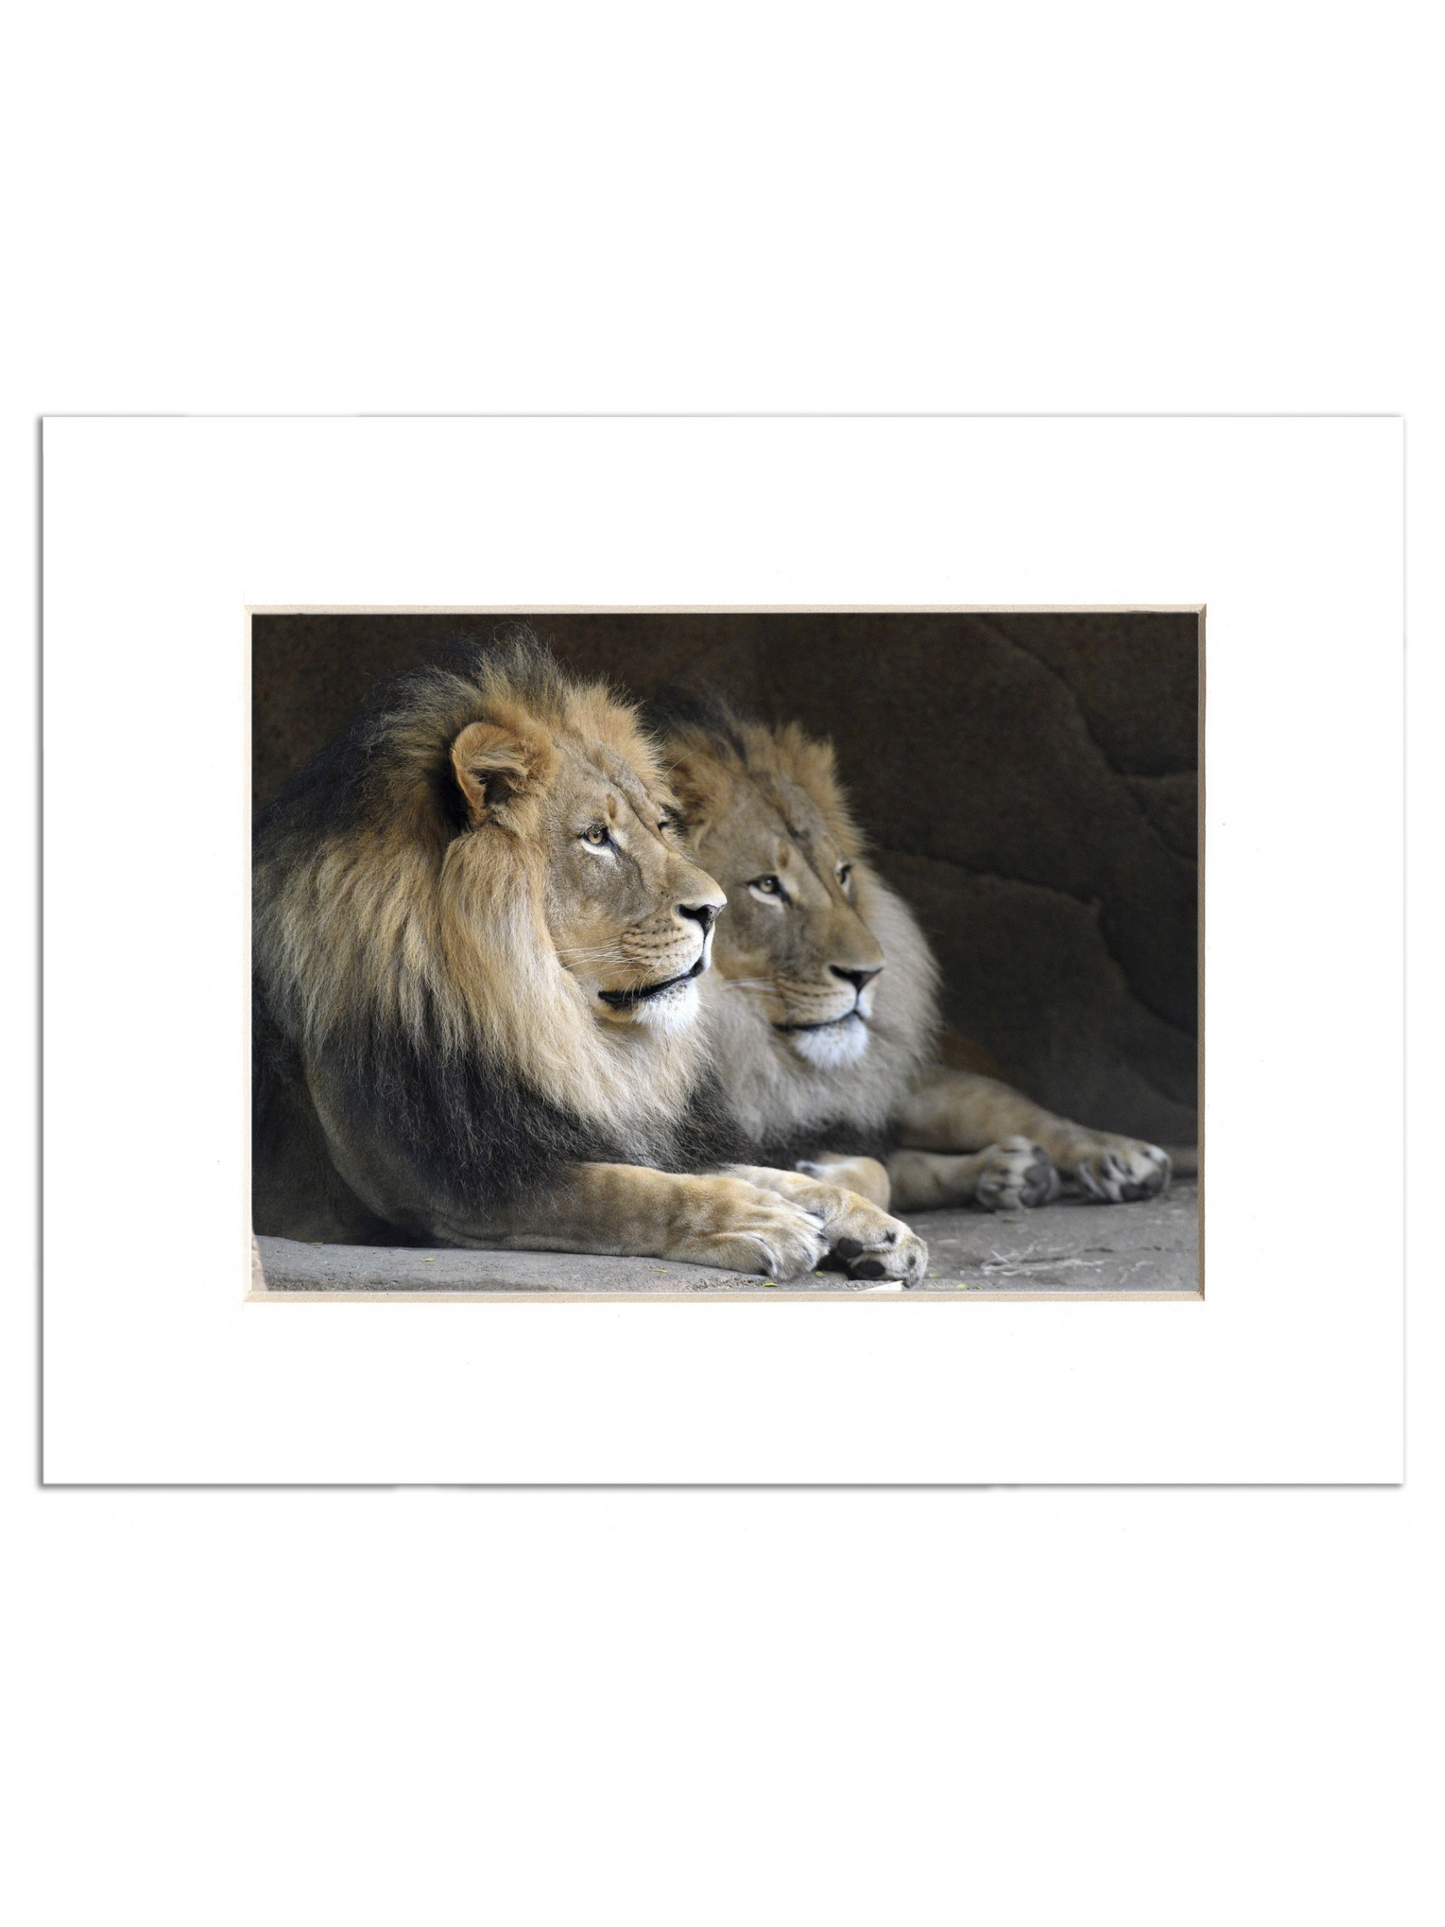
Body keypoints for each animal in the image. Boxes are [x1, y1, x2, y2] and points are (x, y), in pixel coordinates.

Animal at [252, 639, 927, 1283]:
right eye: (597, 838)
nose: (713, 910)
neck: (547, 1022)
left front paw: (869, 1224)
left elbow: (767, 1172)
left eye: (660, 826)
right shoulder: (443, 1183)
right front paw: (759, 1219)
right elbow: (624, 1192)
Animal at [657, 691, 1175, 1215]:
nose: (868, 975)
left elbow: (878, 1170)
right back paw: (1014, 1172)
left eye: (841, 874)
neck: (740, 1040)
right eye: (766, 886)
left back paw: (1126, 1160)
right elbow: (883, 1171)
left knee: (1024, 1114)